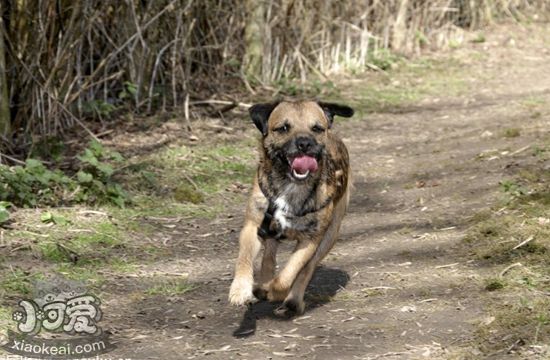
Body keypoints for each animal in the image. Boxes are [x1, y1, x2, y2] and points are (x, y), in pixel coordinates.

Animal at [229, 100, 354, 316]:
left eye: (317, 128)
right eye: (283, 128)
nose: (304, 143)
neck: (290, 186)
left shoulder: (310, 241)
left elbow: (288, 276)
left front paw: (274, 291)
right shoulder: (253, 226)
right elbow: (244, 259)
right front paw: (240, 289)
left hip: (330, 235)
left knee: (306, 270)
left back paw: (291, 300)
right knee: (269, 257)